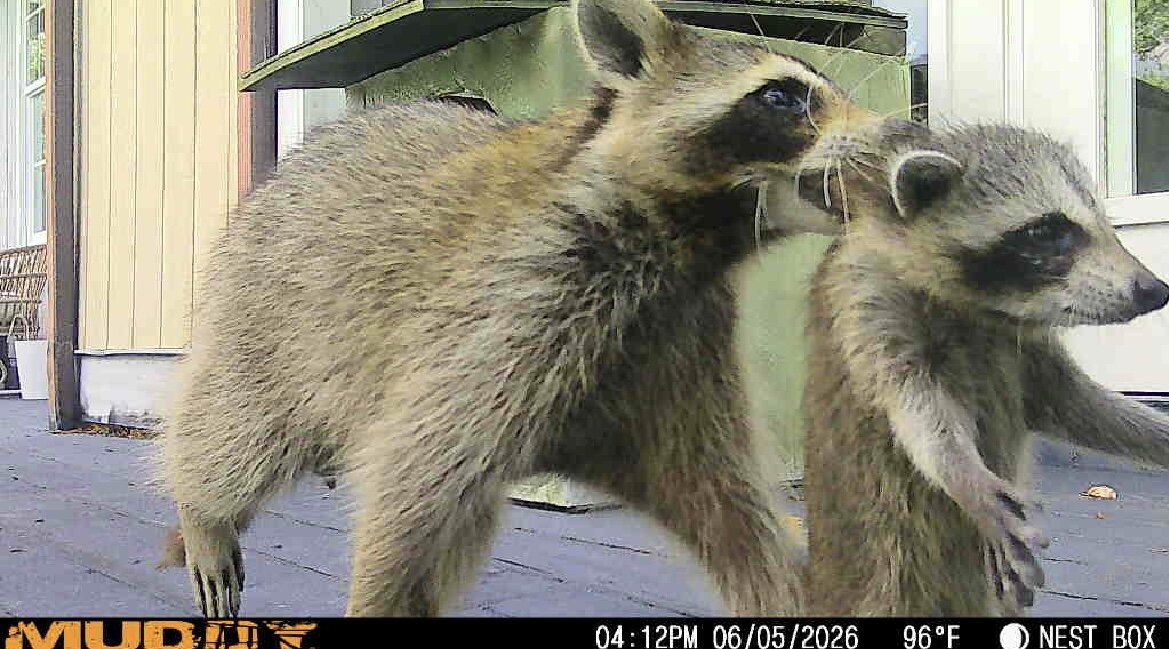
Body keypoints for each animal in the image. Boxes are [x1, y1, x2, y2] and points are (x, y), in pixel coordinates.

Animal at [156, 0, 883, 617]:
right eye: (781, 96)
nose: (897, 134)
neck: (695, 239)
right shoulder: (502, 305)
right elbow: (405, 487)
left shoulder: (676, 346)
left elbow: (728, 509)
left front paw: (792, 591)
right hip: (270, 312)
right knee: (236, 430)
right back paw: (204, 509)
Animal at [796, 119, 1169, 616]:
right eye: (1047, 230)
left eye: (1106, 224)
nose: (1155, 290)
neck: (986, 309)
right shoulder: (866, 303)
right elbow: (916, 404)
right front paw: (962, 472)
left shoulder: (1026, 351)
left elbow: (1077, 405)